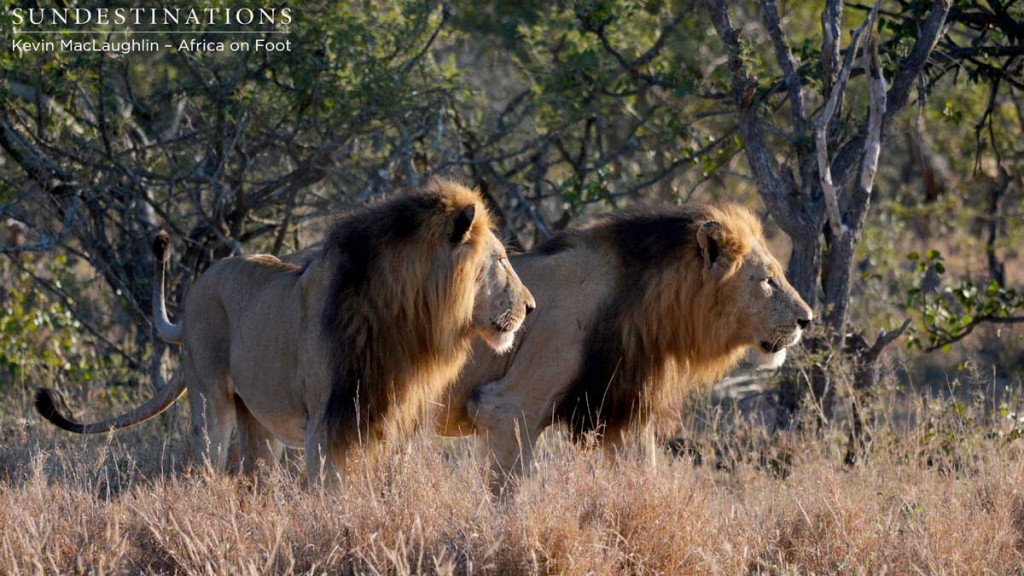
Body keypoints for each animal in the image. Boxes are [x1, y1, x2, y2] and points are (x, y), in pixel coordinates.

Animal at [36, 179, 536, 483]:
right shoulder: (325, 421)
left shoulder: (384, 416)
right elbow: (329, 491)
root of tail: (195, 290)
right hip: (211, 400)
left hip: (258, 420)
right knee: (207, 459)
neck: (408, 315)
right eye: (500, 260)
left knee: (255, 470)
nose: (531, 307)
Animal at [436, 201, 811, 487]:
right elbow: (506, 494)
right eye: (768, 281)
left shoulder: (624, 410)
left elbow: (643, 477)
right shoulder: (508, 406)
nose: (807, 319)